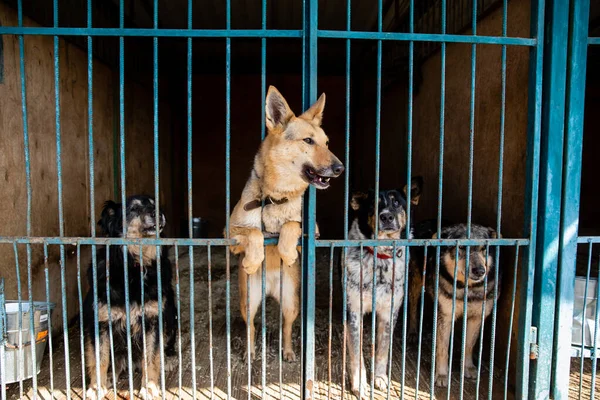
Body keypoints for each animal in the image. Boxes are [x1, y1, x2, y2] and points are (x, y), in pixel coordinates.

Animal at [84, 195, 178, 398]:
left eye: (154, 204)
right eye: (133, 209)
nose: (158, 213)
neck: (133, 267)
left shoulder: (153, 320)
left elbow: (150, 358)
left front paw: (149, 387)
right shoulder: (100, 322)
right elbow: (100, 359)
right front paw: (96, 387)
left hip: (171, 313)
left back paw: (168, 358)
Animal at [227, 87, 344, 362]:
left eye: (326, 142)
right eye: (308, 141)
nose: (340, 168)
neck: (276, 198)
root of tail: (270, 289)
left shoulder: (313, 233)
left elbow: (291, 225)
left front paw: (287, 251)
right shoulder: (230, 237)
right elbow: (254, 232)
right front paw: (253, 259)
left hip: (291, 301)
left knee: (287, 326)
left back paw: (289, 352)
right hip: (248, 301)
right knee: (251, 326)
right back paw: (250, 352)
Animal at [342, 178, 422, 396]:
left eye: (396, 203)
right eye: (372, 205)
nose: (386, 216)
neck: (380, 257)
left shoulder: (389, 312)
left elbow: (383, 350)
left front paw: (379, 378)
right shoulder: (353, 311)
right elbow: (356, 354)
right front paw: (359, 384)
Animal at [408, 222, 502, 388]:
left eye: (484, 249)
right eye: (462, 247)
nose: (480, 271)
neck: (467, 288)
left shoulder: (477, 317)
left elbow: (469, 345)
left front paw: (468, 368)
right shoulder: (445, 316)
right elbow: (443, 349)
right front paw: (442, 374)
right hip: (417, 281)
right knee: (413, 306)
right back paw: (413, 331)